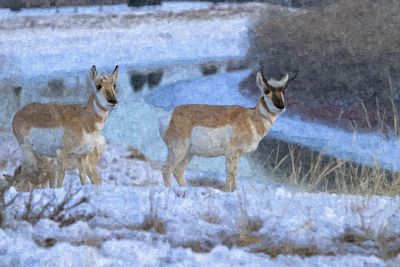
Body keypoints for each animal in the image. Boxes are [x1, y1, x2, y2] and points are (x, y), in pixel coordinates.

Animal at [160, 67, 296, 193]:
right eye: (266, 90)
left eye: (284, 91)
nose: (281, 106)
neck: (251, 118)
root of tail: (171, 114)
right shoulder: (232, 153)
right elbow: (233, 173)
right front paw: (233, 192)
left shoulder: (231, 156)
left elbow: (228, 174)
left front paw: (226, 192)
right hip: (178, 150)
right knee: (166, 168)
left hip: (189, 153)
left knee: (178, 170)